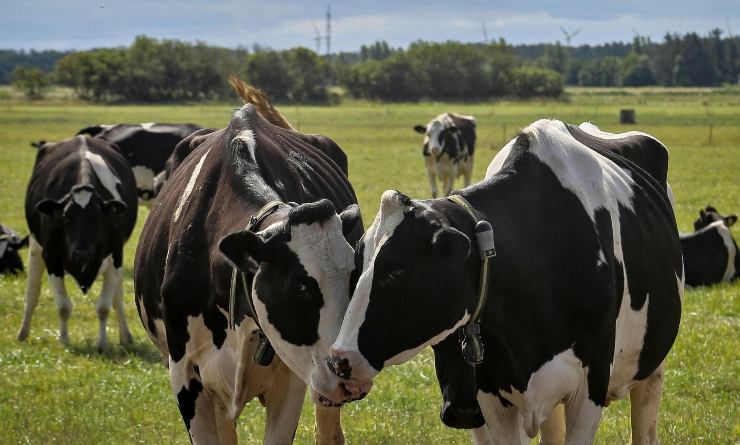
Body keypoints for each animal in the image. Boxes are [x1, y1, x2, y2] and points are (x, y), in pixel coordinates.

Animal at [17, 134, 139, 348]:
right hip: (35, 246)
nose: (82, 253)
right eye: (66, 217)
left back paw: (125, 336)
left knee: (117, 297)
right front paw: (64, 341)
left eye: (98, 217)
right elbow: (63, 306)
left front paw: (102, 344)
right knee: (32, 292)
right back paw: (23, 333)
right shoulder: (52, 258)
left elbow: (104, 306)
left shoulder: (116, 254)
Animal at [324, 119, 684, 444]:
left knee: (645, 421)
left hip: (652, 365)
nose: (339, 359)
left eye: (395, 272)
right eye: (356, 269)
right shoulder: (491, 392)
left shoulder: (589, 387)